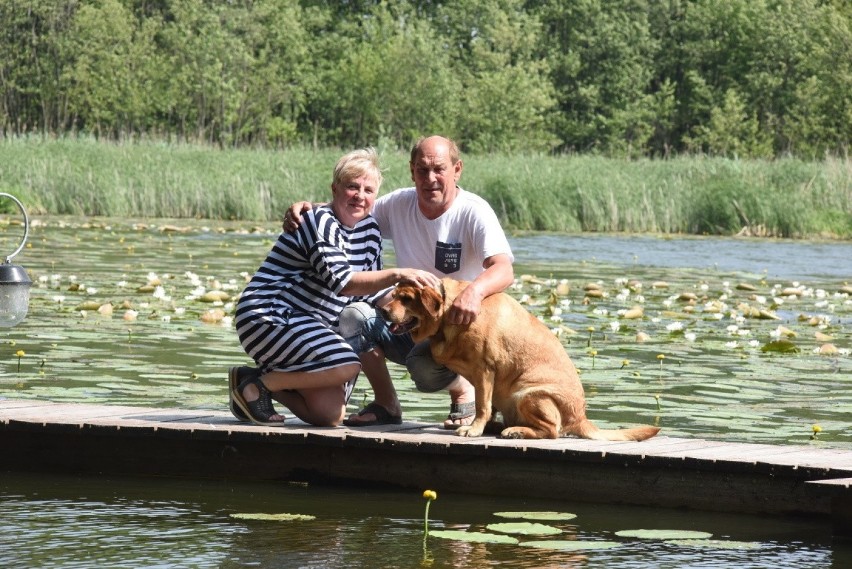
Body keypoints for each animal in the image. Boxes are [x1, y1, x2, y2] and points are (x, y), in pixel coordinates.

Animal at [382, 278, 664, 442]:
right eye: (394, 295)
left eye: (406, 298)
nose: (381, 309)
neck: (447, 314)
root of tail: (581, 418)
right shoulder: (482, 379)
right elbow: (486, 406)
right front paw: (481, 426)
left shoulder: (484, 370)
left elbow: (482, 406)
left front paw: (473, 429)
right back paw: (502, 427)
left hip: (528, 394)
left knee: (552, 432)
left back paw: (515, 431)